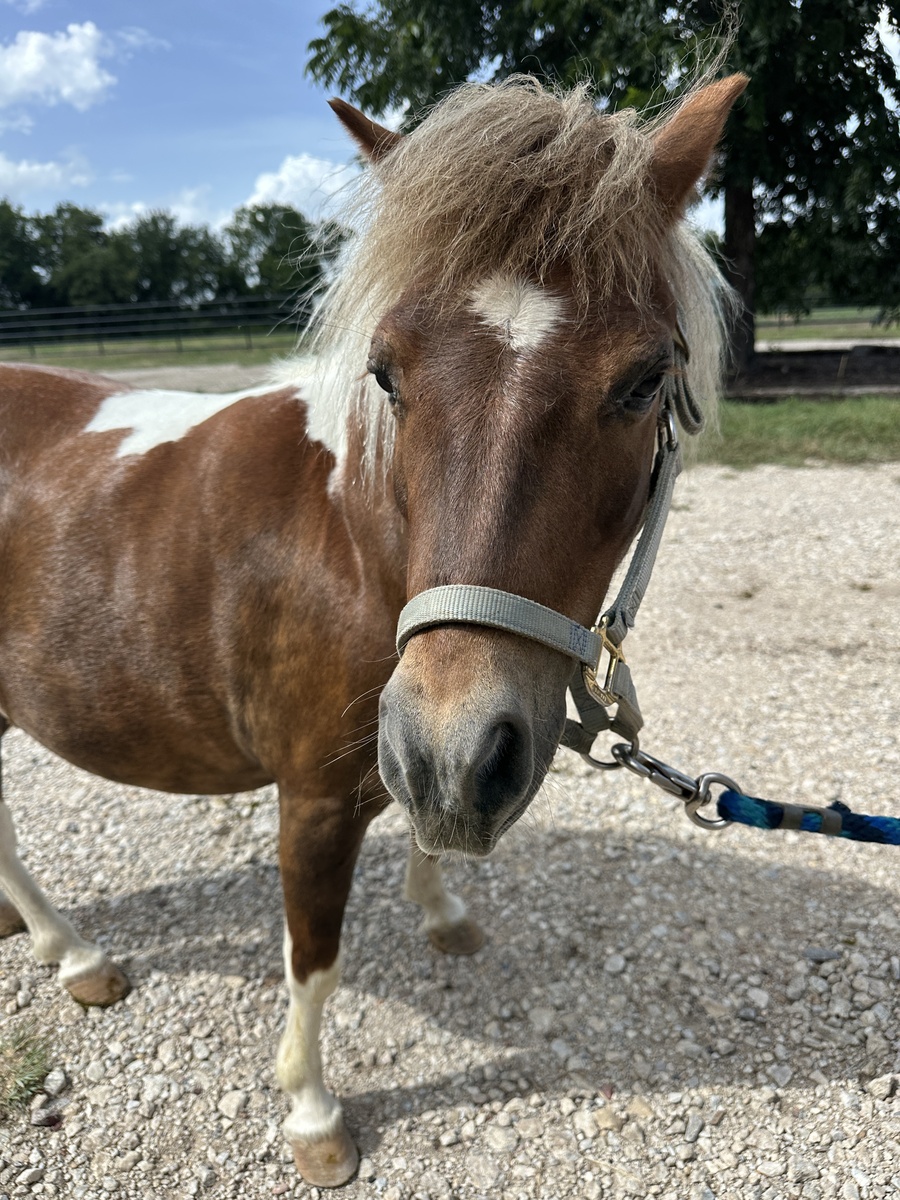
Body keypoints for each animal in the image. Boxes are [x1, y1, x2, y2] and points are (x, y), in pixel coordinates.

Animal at [0, 72, 747, 1186]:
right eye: (388, 371)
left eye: (644, 379)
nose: (459, 745)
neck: (354, 541)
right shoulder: (313, 801)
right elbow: (314, 961)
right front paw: (313, 1117)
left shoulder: (414, 749)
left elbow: (425, 830)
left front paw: (443, 914)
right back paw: (79, 955)